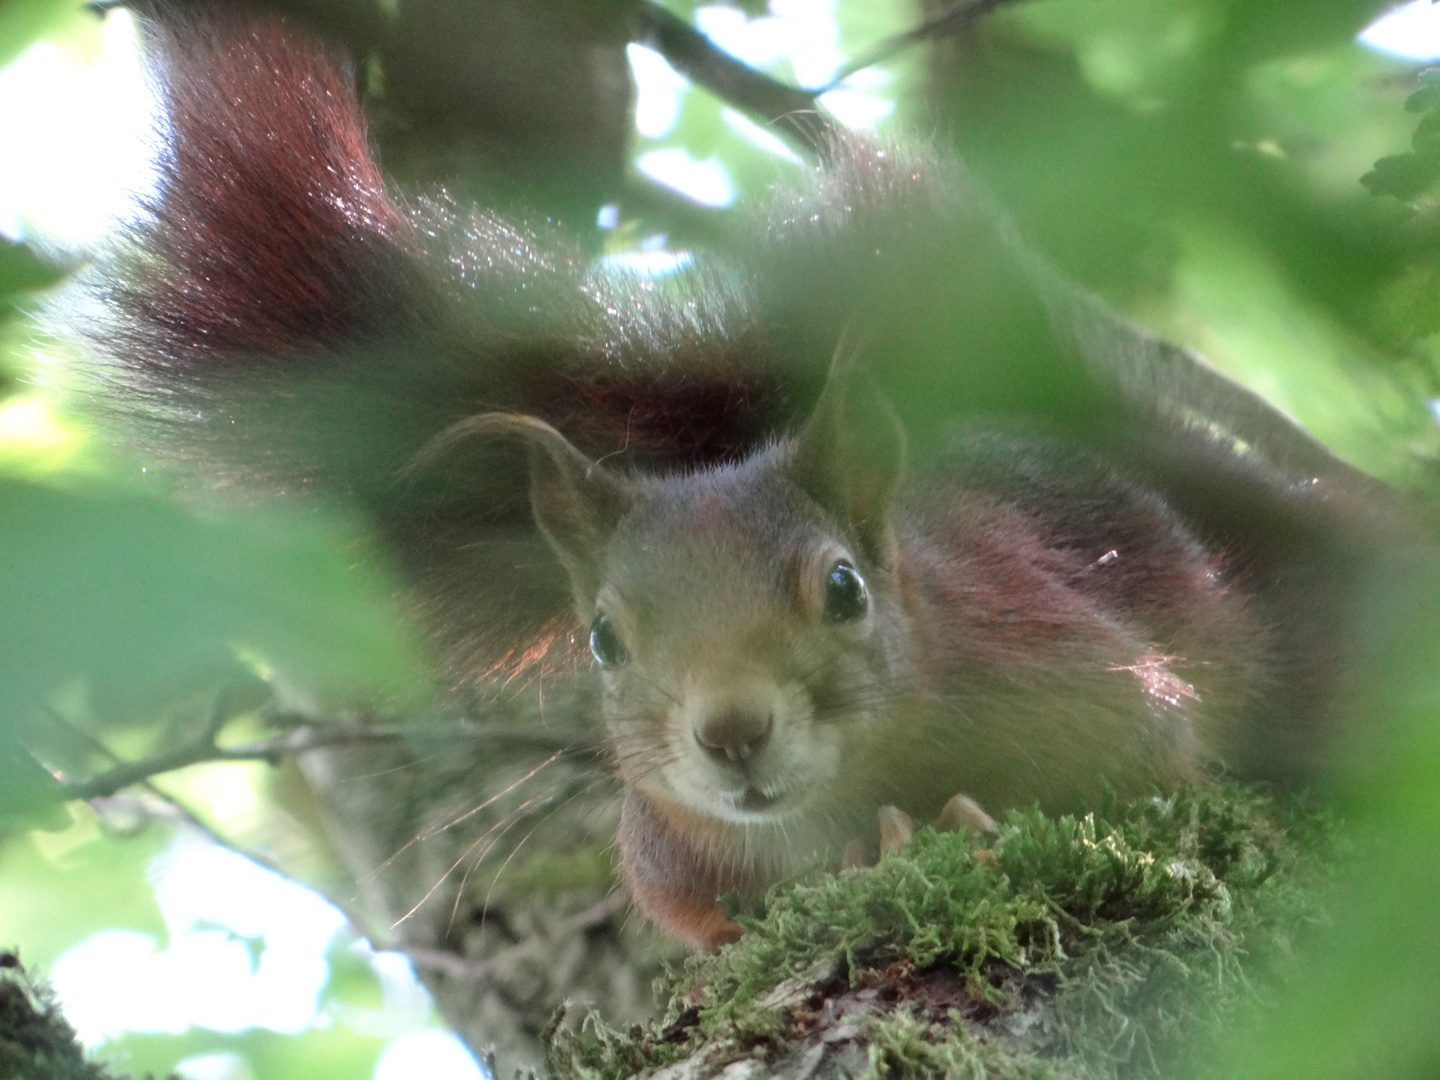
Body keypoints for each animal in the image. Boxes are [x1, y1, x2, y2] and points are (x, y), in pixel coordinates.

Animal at [59, 2, 1405, 944]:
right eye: (601, 639)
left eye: (845, 589)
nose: (734, 732)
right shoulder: (672, 858)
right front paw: (874, 854)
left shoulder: (1072, 667)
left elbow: (1150, 758)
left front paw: (956, 821)